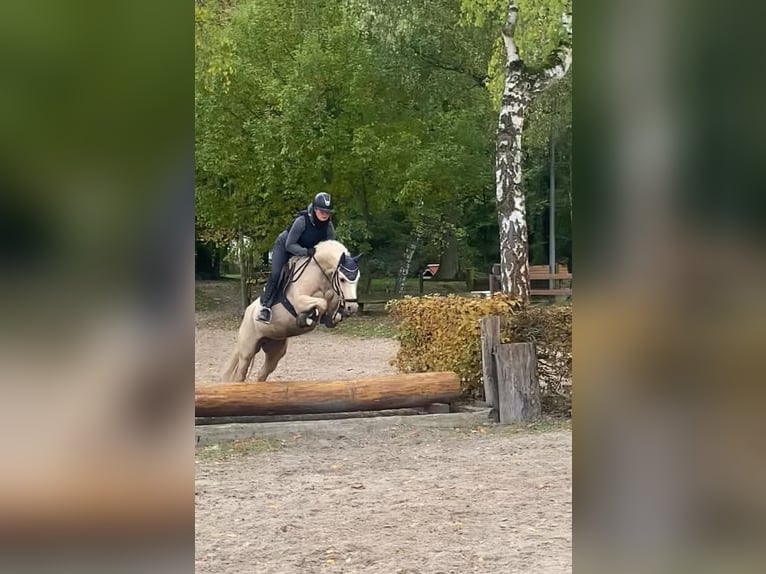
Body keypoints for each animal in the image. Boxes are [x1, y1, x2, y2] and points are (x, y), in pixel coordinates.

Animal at [224, 240, 362, 382]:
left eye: (357, 279)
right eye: (342, 279)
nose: (352, 308)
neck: (320, 276)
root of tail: (248, 311)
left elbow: (331, 307)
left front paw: (331, 317)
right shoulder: (299, 300)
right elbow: (321, 303)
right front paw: (307, 318)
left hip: (275, 349)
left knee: (262, 374)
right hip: (247, 349)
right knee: (240, 374)